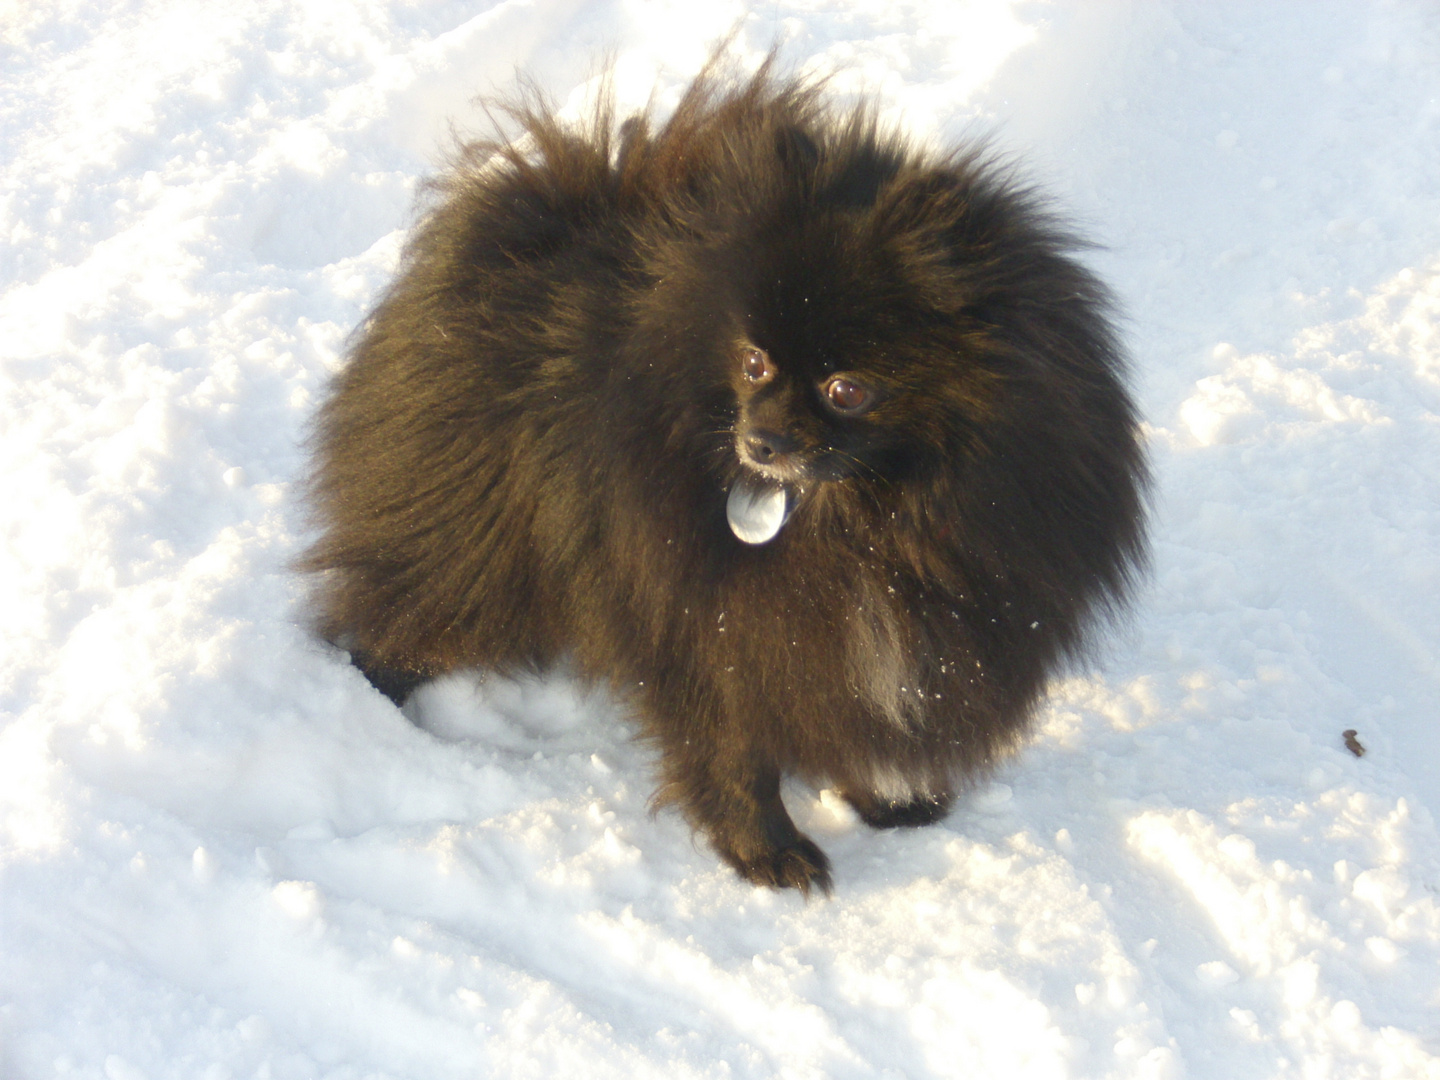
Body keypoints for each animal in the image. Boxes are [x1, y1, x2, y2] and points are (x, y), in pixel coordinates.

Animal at [300, 57, 1146, 898]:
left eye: (847, 389)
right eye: (753, 362)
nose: (759, 441)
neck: (865, 519)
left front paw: (890, 798)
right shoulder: (709, 619)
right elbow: (735, 745)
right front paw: (768, 852)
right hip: (475, 539)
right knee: (410, 606)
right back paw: (372, 699)